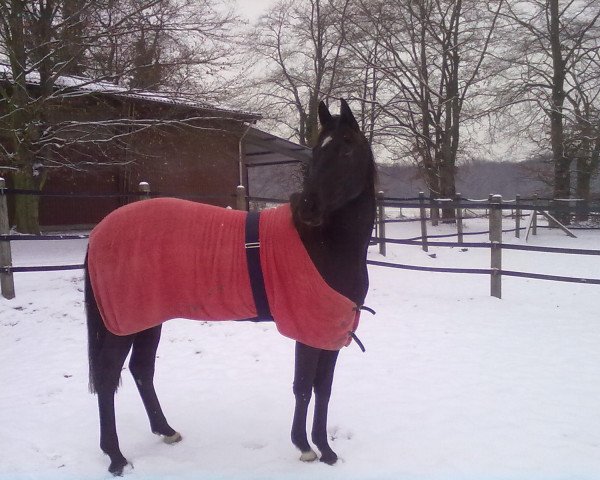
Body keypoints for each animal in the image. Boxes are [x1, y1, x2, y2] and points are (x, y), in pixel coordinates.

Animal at [84, 99, 376, 474]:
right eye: (317, 150)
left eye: (347, 148)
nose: (309, 208)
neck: (324, 244)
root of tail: (99, 231)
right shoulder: (310, 329)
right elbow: (303, 387)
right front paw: (305, 447)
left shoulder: (331, 331)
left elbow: (322, 389)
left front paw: (326, 450)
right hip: (122, 324)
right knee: (108, 378)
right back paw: (116, 456)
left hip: (147, 319)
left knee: (141, 370)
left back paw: (166, 430)